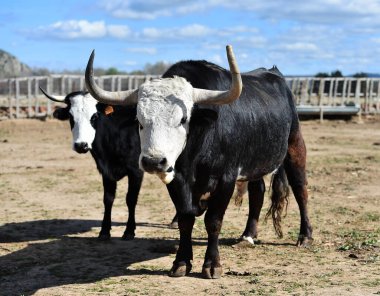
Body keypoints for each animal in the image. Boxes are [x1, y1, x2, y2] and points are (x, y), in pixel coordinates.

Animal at [39, 89, 145, 239]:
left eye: (94, 116)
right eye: (70, 116)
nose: (81, 145)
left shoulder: (136, 171)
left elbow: (131, 199)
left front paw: (129, 231)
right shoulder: (106, 171)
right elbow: (108, 199)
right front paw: (104, 231)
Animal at [84, 45, 314, 278]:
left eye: (183, 119)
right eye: (139, 121)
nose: (153, 161)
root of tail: (274, 73)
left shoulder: (226, 179)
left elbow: (213, 221)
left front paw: (212, 264)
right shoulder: (177, 180)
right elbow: (185, 219)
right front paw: (181, 262)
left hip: (295, 147)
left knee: (300, 189)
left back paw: (305, 236)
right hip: (254, 162)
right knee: (257, 192)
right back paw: (248, 235)